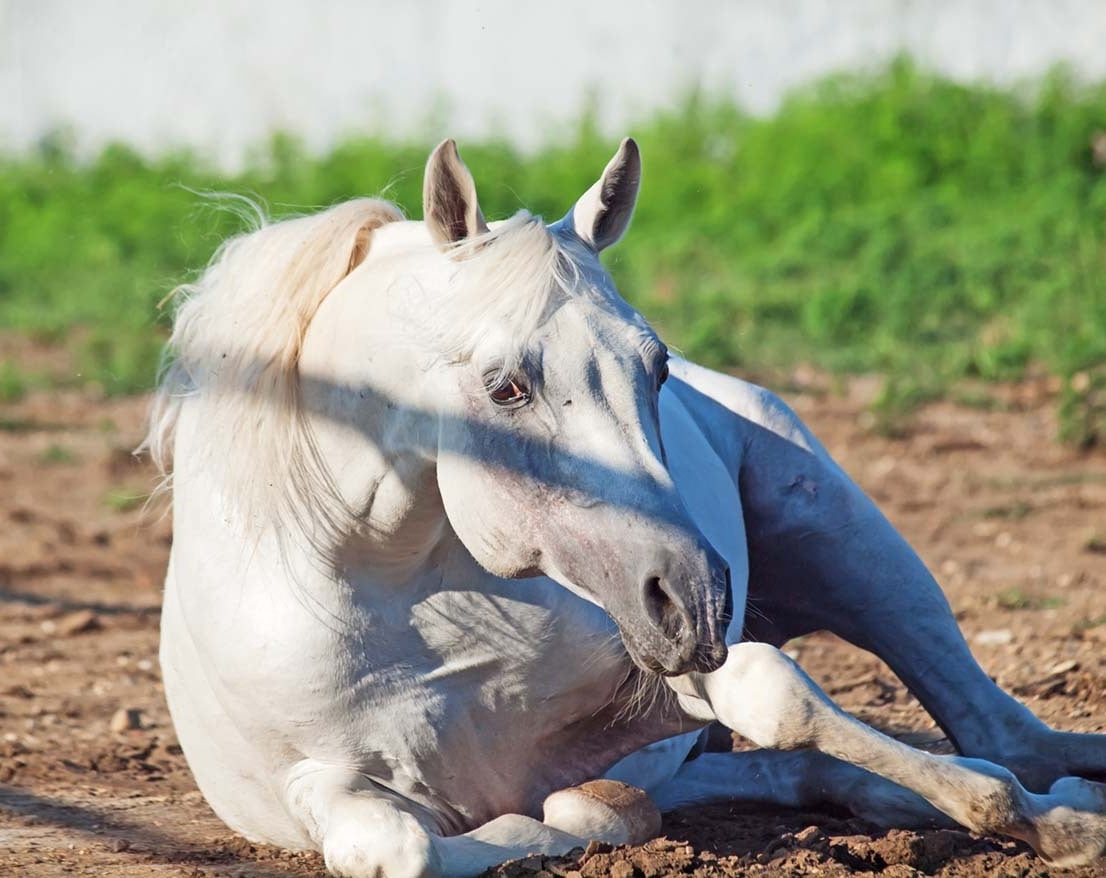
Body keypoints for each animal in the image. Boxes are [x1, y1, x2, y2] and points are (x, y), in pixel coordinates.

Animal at [145, 138, 1106, 877]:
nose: (698, 598)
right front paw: (564, 817)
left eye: (658, 366)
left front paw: (1062, 829)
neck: (399, 592)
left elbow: (775, 695)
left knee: (998, 730)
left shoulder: (662, 672)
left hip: (848, 542)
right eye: (505, 386)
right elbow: (410, 846)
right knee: (808, 775)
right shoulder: (316, 784)